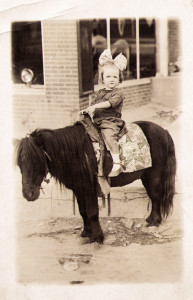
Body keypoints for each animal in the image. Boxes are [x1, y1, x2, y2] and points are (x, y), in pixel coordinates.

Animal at [15, 119, 176, 244]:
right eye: (19, 164)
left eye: (36, 161)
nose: (28, 194)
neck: (77, 154)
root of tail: (163, 131)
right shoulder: (79, 189)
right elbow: (83, 212)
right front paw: (86, 232)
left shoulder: (89, 189)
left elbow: (92, 212)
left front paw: (97, 237)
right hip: (145, 176)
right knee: (154, 196)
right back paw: (151, 219)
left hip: (154, 175)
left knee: (155, 196)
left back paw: (154, 221)